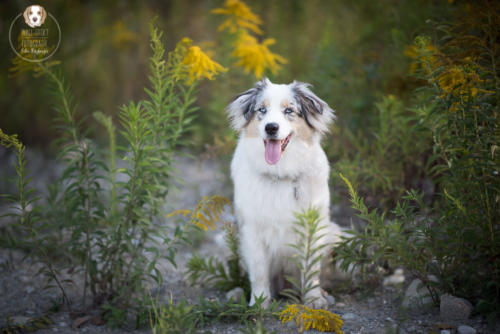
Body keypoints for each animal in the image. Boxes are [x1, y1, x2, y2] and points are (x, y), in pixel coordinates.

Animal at [228, 78, 342, 308]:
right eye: (262, 110)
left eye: (289, 110)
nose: (271, 127)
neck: (279, 173)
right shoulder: (252, 229)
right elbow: (259, 270)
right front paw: (259, 302)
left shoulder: (313, 226)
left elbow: (311, 267)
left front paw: (314, 299)